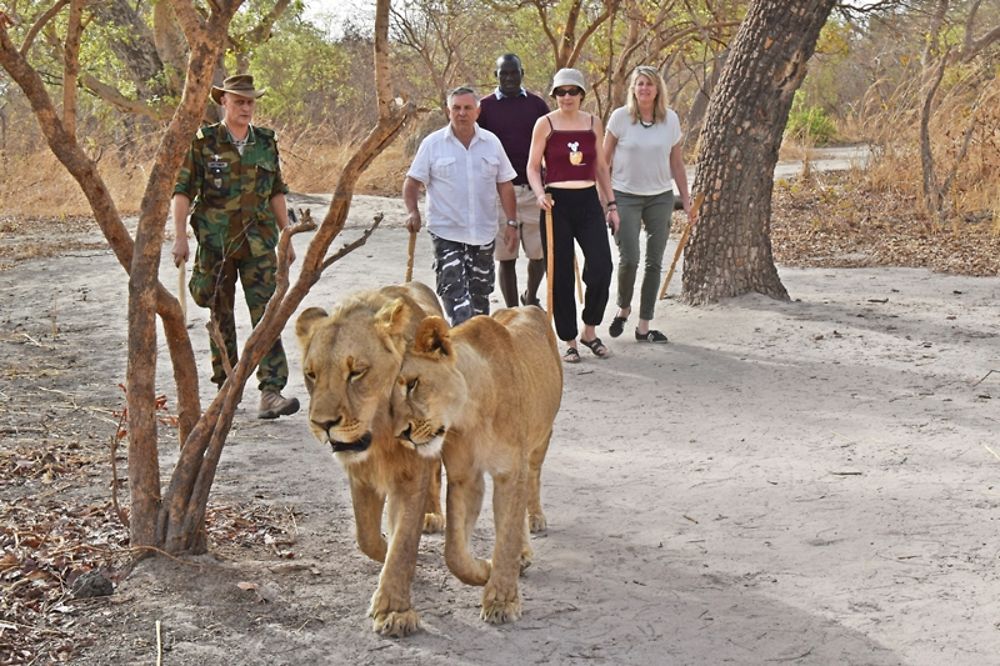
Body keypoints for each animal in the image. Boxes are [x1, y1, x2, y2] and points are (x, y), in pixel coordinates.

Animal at [296, 280, 446, 632]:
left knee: (436, 474)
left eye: (357, 372)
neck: (381, 433)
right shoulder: (361, 474)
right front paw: (386, 548)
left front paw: (394, 610)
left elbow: (404, 541)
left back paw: (432, 514)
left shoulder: (412, 473)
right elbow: (366, 536)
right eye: (311, 374)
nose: (323, 424)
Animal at [390, 306, 564, 624]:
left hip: (541, 438)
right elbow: (454, 552)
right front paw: (484, 569)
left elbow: (506, 535)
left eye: (412, 384)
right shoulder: (465, 477)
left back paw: (535, 519)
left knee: (533, 479)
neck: (469, 415)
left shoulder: (510, 472)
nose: (401, 434)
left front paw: (502, 602)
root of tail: (525, 307)